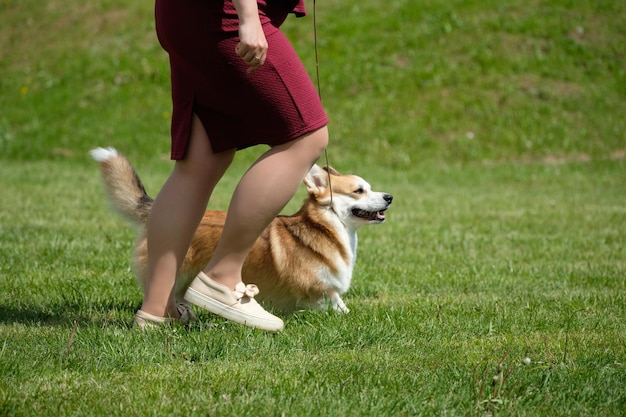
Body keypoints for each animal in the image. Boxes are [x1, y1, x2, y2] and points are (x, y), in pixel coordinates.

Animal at [89, 146, 390, 312]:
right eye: (359, 191)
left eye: (371, 187)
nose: (390, 197)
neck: (327, 229)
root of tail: (154, 211)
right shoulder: (319, 290)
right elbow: (337, 306)